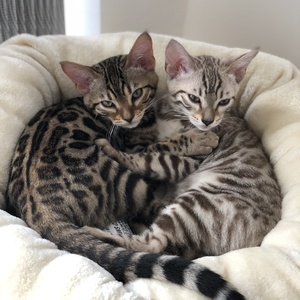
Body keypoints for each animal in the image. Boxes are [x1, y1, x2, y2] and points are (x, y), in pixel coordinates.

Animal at [86, 39, 282, 260]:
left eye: (224, 101)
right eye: (194, 98)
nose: (208, 121)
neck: (173, 116)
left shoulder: (186, 162)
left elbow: (148, 158)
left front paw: (112, 150)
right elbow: (153, 148)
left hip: (196, 203)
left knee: (152, 245)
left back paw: (96, 233)